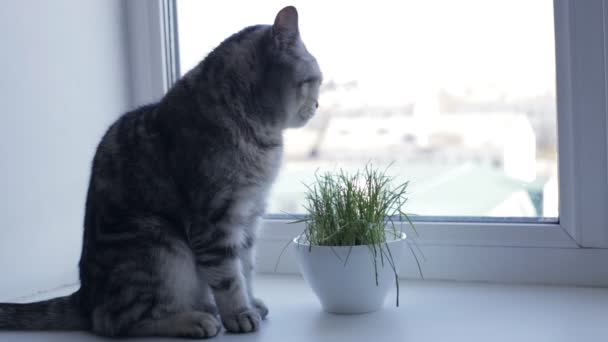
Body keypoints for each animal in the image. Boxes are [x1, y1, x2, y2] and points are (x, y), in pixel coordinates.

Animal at [0, 5, 324, 340]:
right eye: (315, 81)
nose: (317, 105)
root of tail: (85, 298)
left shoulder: (249, 214)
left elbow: (245, 268)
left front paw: (250, 302)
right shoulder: (216, 220)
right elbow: (228, 276)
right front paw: (239, 313)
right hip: (159, 245)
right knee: (117, 322)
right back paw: (194, 320)